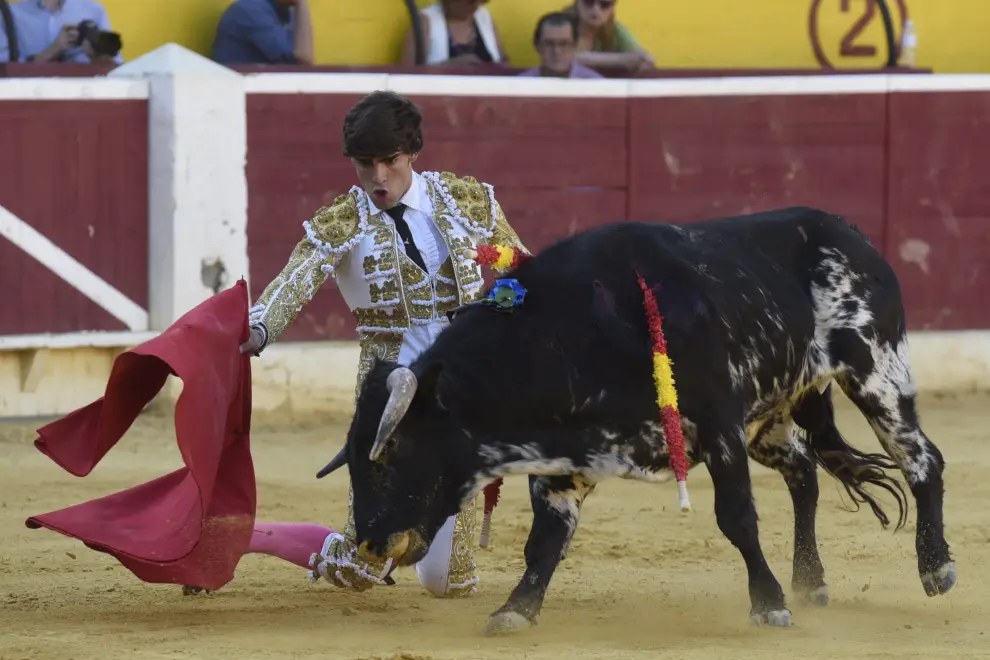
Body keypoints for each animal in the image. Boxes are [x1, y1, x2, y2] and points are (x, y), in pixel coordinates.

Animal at [318, 208, 952, 636]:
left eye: (390, 455)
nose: (370, 543)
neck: (576, 331)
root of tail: (848, 232)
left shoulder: (718, 430)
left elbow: (736, 518)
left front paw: (769, 604)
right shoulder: (567, 458)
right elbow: (544, 541)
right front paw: (515, 611)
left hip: (877, 371)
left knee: (923, 459)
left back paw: (936, 569)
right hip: (773, 413)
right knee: (803, 472)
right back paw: (812, 579)